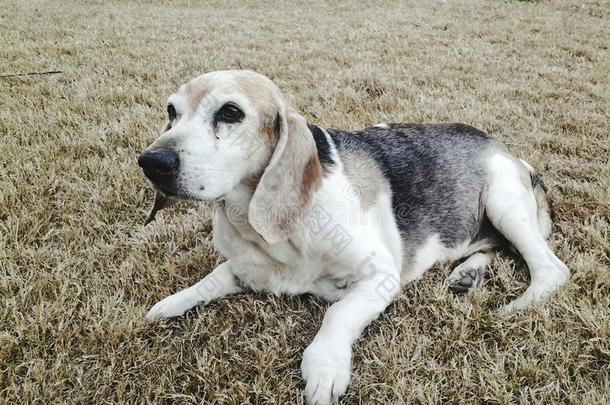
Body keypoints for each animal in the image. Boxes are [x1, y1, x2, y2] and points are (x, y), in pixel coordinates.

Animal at [139, 70, 568, 404]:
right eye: (171, 111)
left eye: (230, 112)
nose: (151, 162)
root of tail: (514, 156)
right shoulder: (246, 267)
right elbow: (211, 279)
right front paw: (172, 303)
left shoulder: (380, 278)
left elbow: (338, 313)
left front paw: (324, 366)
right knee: (495, 246)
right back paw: (468, 273)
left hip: (502, 201)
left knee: (550, 268)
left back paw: (514, 308)